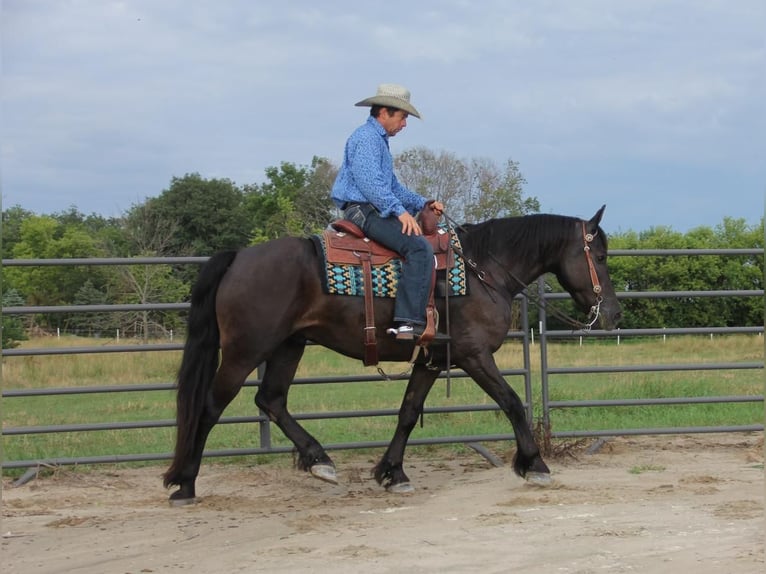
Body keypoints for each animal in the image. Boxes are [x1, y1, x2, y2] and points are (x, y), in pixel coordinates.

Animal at [165, 206, 620, 504]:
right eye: (599, 256)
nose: (613, 314)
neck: (482, 271)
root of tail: (238, 257)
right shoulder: (474, 356)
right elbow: (511, 402)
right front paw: (534, 464)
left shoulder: (432, 360)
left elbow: (408, 411)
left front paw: (392, 472)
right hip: (245, 351)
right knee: (209, 407)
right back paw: (185, 483)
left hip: (287, 347)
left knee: (271, 399)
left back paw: (319, 460)